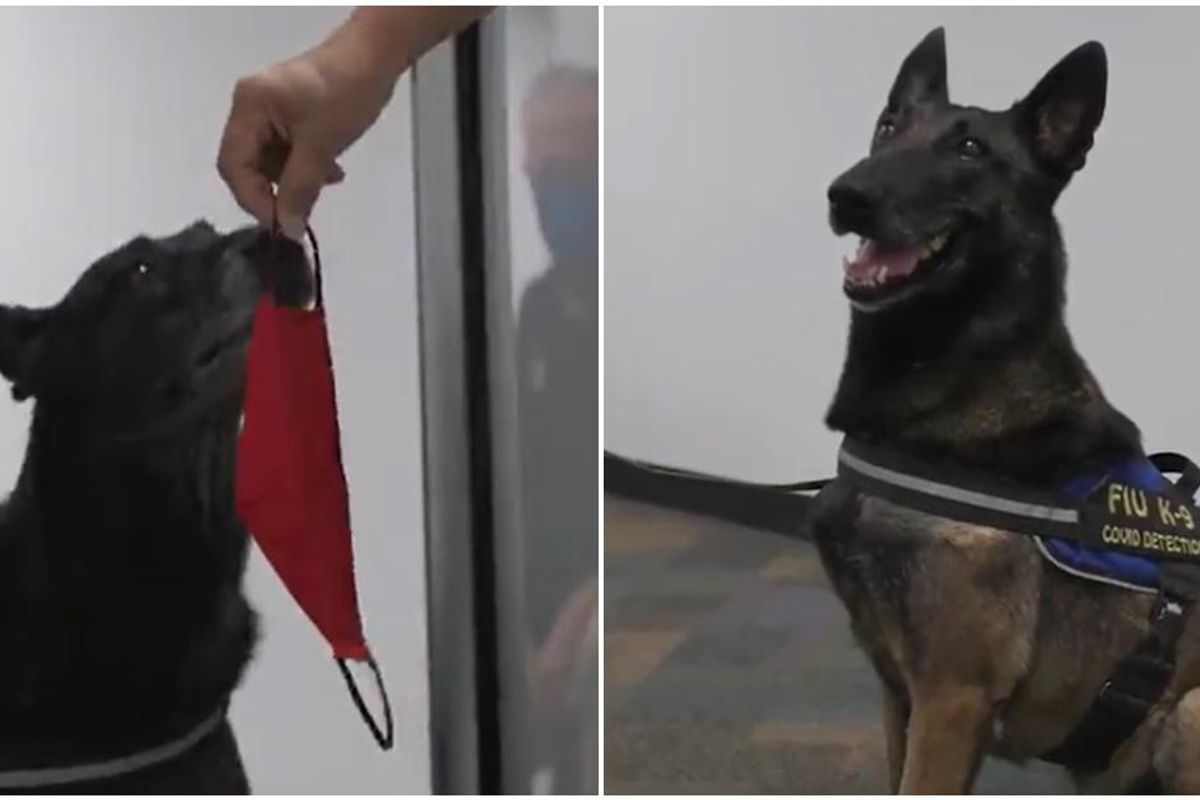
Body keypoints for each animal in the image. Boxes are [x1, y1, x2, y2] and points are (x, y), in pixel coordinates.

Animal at [816, 26, 1200, 796]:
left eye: (969, 149)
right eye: (888, 127)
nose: (846, 195)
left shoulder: (951, 697)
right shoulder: (899, 693)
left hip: (1189, 711)